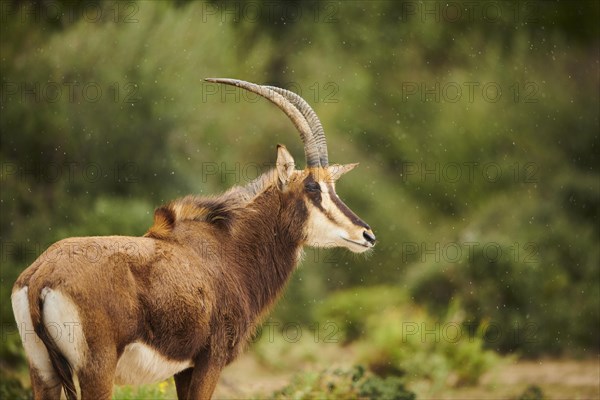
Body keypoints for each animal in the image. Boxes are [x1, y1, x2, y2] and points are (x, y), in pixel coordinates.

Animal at [11, 79, 376, 400]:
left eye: (333, 186)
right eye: (313, 187)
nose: (367, 235)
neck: (229, 249)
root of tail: (42, 275)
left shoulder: (183, 369)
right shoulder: (209, 361)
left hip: (42, 371)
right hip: (96, 371)